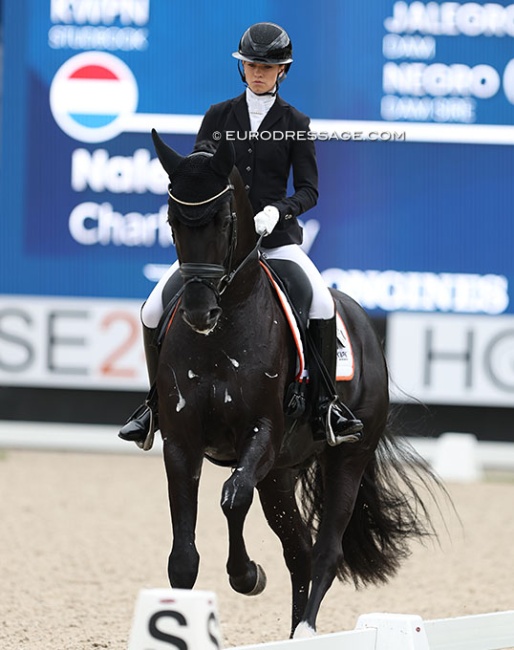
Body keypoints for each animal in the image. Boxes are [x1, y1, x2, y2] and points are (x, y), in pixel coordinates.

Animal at [150, 130, 438, 636]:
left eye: (224, 219)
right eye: (172, 221)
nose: (200, 313)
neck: (223, 333)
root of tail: (361, 321)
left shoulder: (262, 432)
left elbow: (232, 498)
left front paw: (247, 576)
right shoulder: (181, 442)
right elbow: (183, 557)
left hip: (346, 457)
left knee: (325, 550)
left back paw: (304, 628)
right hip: (280, 473)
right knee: (298, 548)